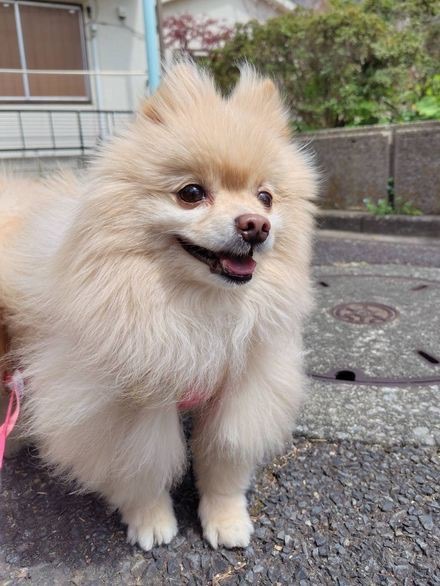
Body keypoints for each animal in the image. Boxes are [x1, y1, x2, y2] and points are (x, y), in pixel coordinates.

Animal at [0, 63, 317, 550]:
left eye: (265, 197)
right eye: (191, 193)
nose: (256, 225)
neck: (195, 307)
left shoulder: (240, 389)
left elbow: (223, 457)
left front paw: (225, 519)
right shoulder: (126, 405)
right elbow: (141, 468)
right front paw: (150, 520)